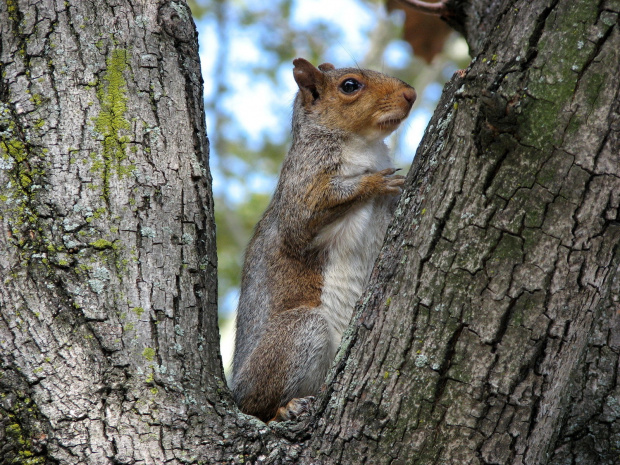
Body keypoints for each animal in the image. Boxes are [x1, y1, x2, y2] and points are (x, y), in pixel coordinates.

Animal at [230, 57, 414, 420]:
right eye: (349, 86)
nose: (411, 93)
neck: (363, 144)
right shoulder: (304, 177)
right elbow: (304, 218)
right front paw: (373, 182)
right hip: (298, 333)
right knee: (254, 406)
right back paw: (284, 408)